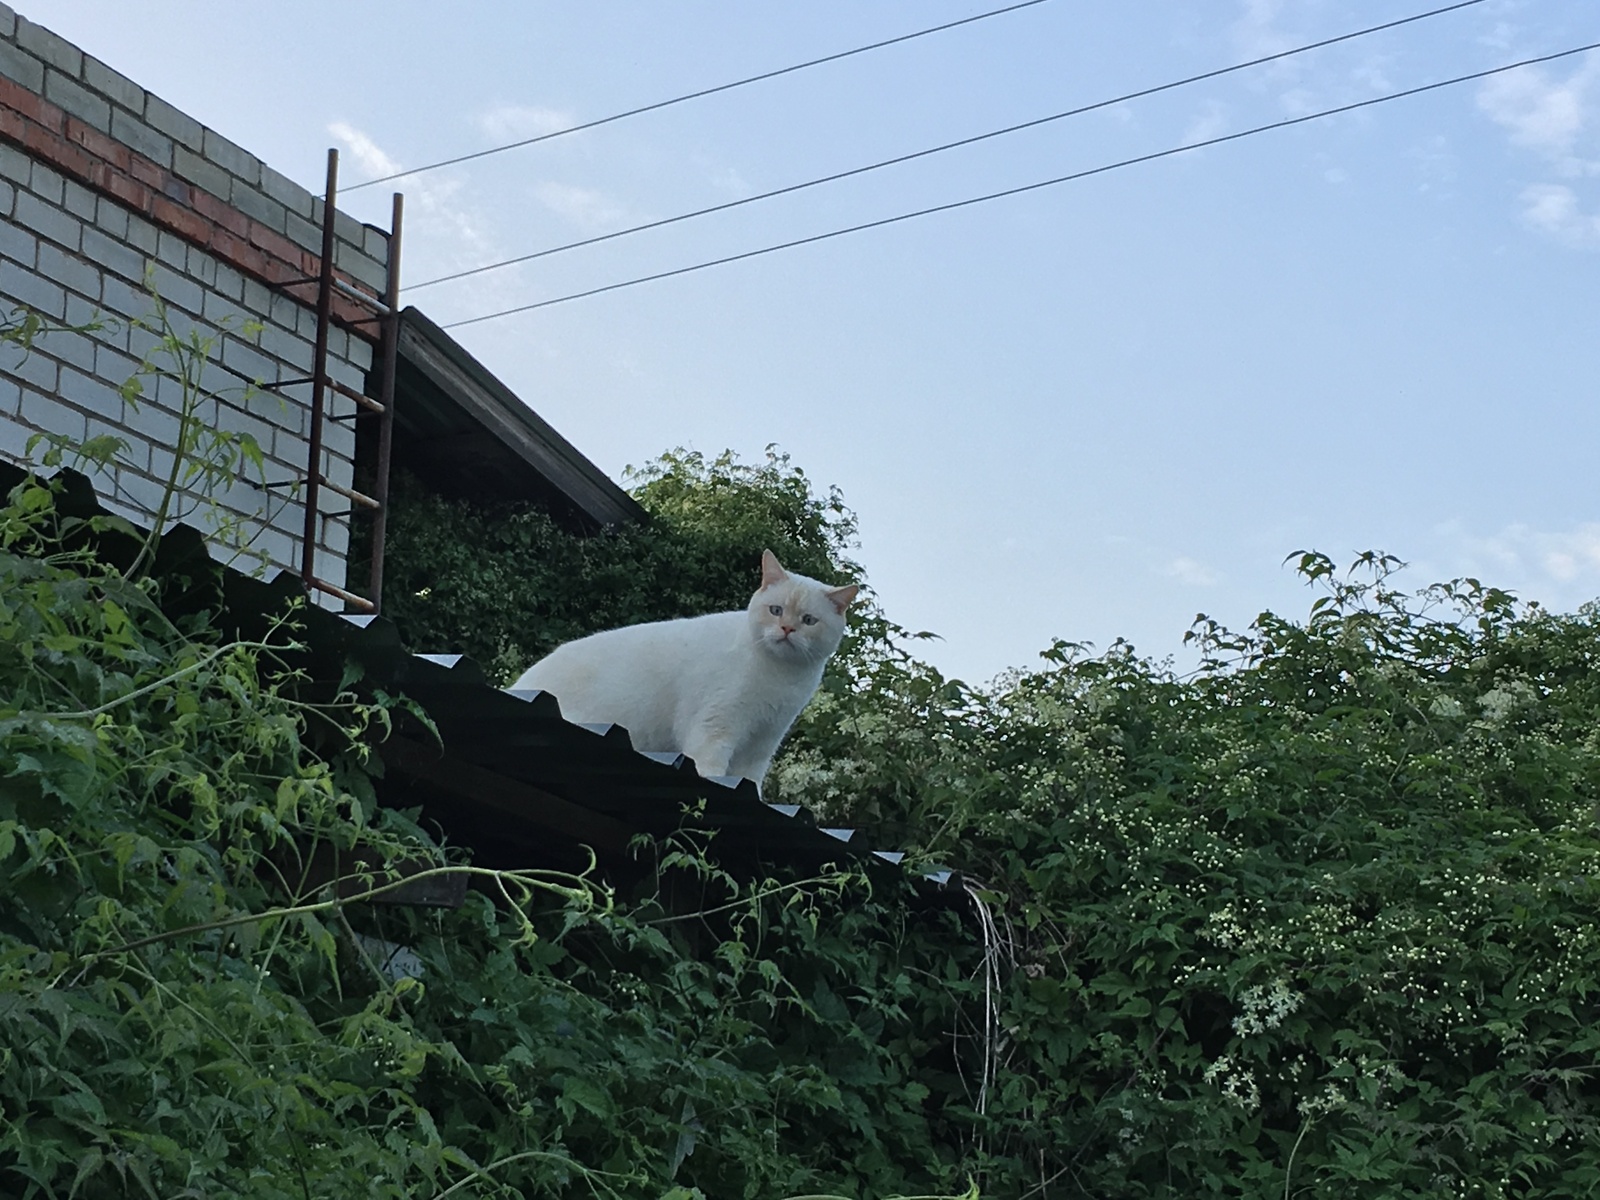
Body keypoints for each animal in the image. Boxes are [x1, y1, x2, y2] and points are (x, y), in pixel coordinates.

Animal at [512, 553, 864, 790]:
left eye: (808, 621)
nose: (787, 629)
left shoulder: (760, 747)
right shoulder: (714, 733)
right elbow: (713, 772)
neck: (781, 676)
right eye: (776, 610)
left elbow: (750, 784)